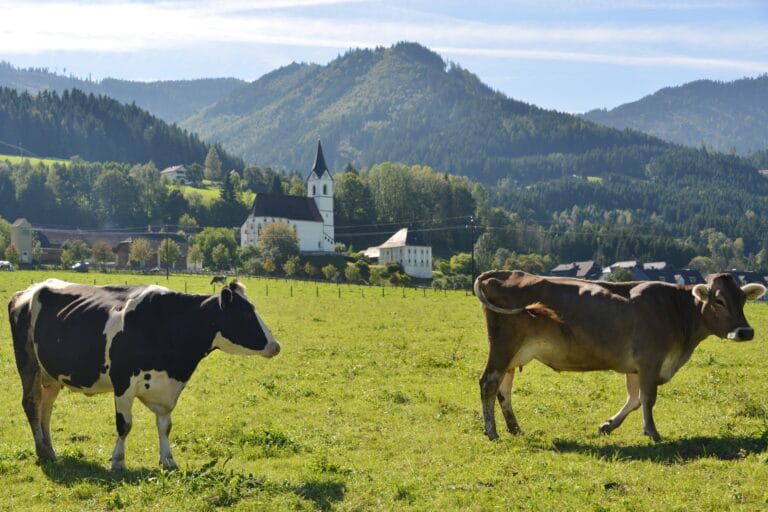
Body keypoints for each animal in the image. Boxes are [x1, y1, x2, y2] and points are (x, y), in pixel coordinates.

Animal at [8, 278, 280, 470]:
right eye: (244, 313)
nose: (276, 346)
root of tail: (27, 291)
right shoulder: (123, 382)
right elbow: (124, 425)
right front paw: (118, 461)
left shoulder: (166, 389)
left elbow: (165, 426)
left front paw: (168, 460)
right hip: (28, 364)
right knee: (31, 403)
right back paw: (42, 451)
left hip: (51, 375)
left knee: (45, 408)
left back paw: (49, 450)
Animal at [476, 270, 764, 442]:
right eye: (719, 300)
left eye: (742, 299)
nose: (745, 331)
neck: (677, 309)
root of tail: (505, 273)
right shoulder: (650, 360)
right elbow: (648, 398)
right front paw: (653, 432)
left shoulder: (635, 367)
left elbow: (634, 399)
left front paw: (608, 425)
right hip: (503, 346)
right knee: (489, 383)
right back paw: (492, 432)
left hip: (513, 354)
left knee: (504, 388)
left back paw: (514, 428)